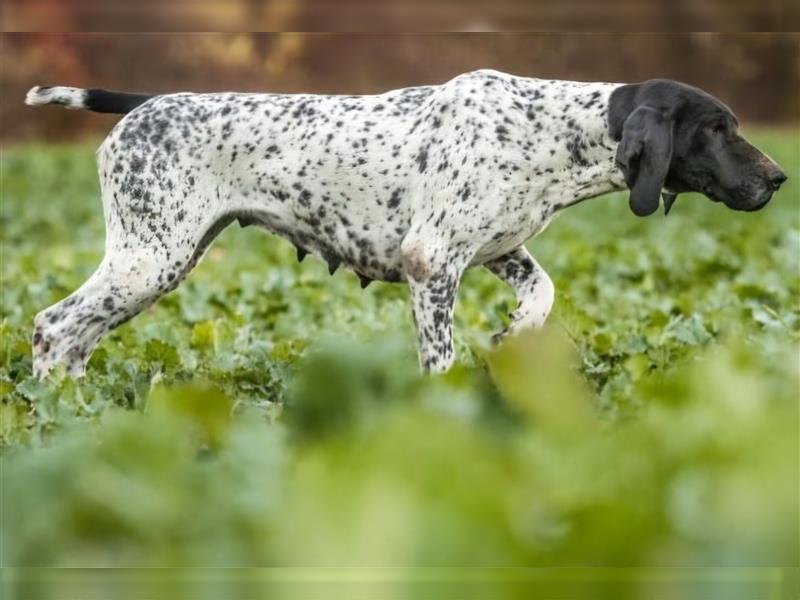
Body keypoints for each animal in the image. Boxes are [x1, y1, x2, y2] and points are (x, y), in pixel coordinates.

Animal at [26, 70, 788, 378]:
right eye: (717, 129)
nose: (779, 178)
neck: (552, 130)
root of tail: (145, 102)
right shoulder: (433, 264)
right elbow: (439, 361)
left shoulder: (499, 250)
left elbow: (542, 294)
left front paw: (514, 337)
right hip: (149, 259)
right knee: (53, 327)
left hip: (155, 263)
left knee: (76, 338)